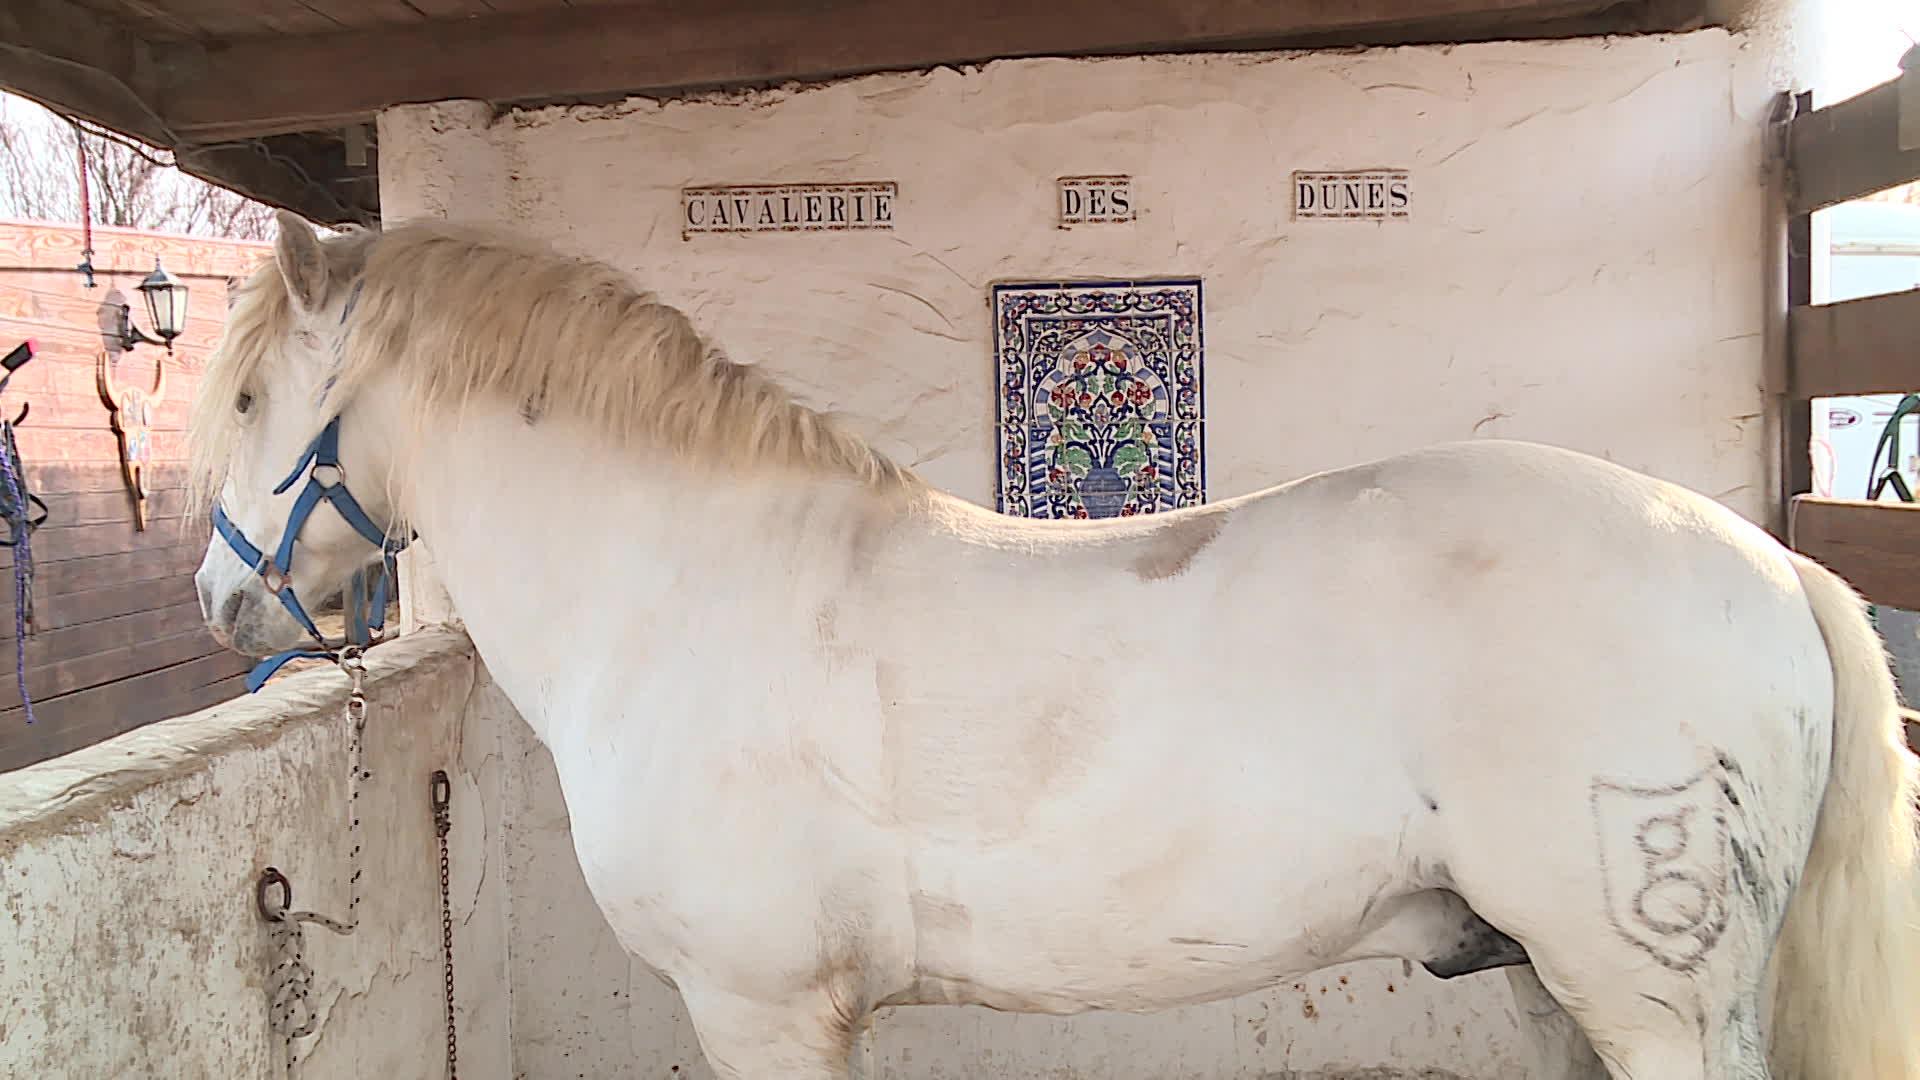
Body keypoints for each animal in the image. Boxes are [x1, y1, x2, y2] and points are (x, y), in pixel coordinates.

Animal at [191, 212, 1920, 1076]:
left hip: (1648, 999)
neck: (676, 590)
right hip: (1553, 986)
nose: (221, 606)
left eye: (248, 396)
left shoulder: (759, 1006)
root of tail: (1771, 562)